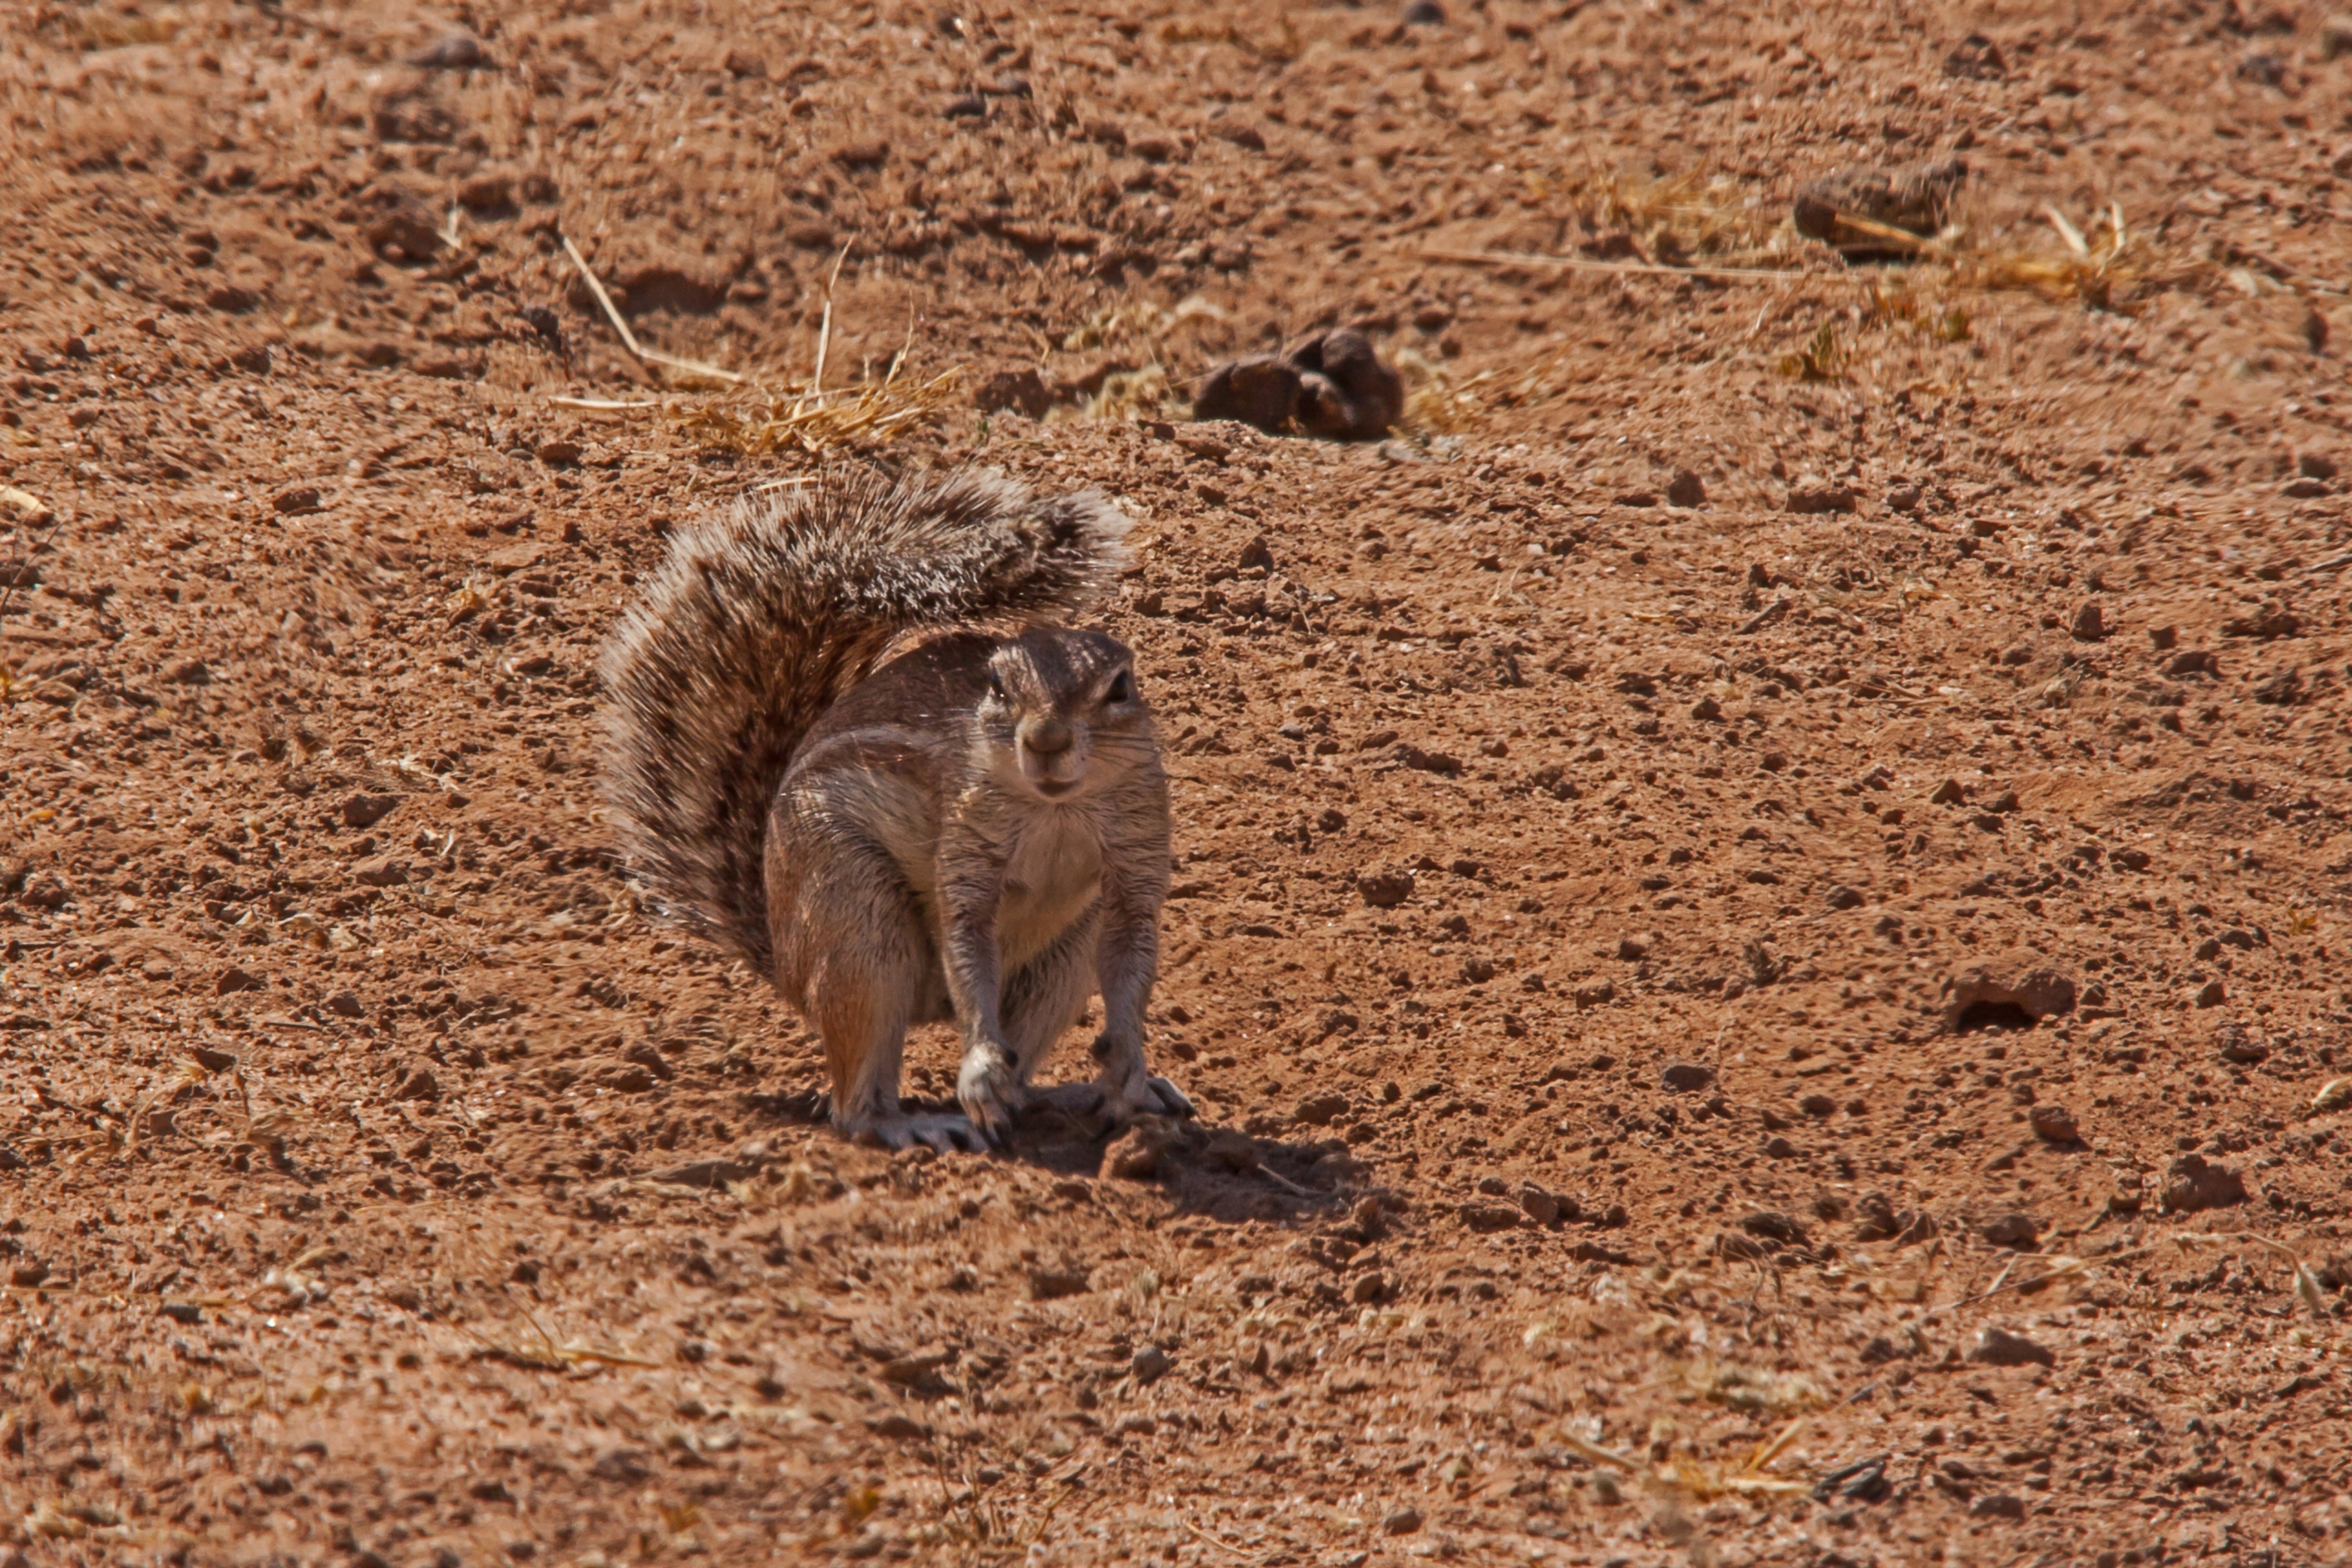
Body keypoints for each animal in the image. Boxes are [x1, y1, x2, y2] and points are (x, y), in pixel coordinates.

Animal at [602, 470, 1194, 1152]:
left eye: (1119, 688)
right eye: (997, 687)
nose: (1046, 740)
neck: (1058, 811)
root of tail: (785, 962)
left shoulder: (1137, 854)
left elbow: (1132, 952)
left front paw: (1129, 1062)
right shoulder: (966, 849)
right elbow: (967, 939)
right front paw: (981, 1066)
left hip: (1063, 957)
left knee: (1025, 1060)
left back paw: (1079, 1094)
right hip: (856, 925)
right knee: (856, 1104)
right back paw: (918, 1122)